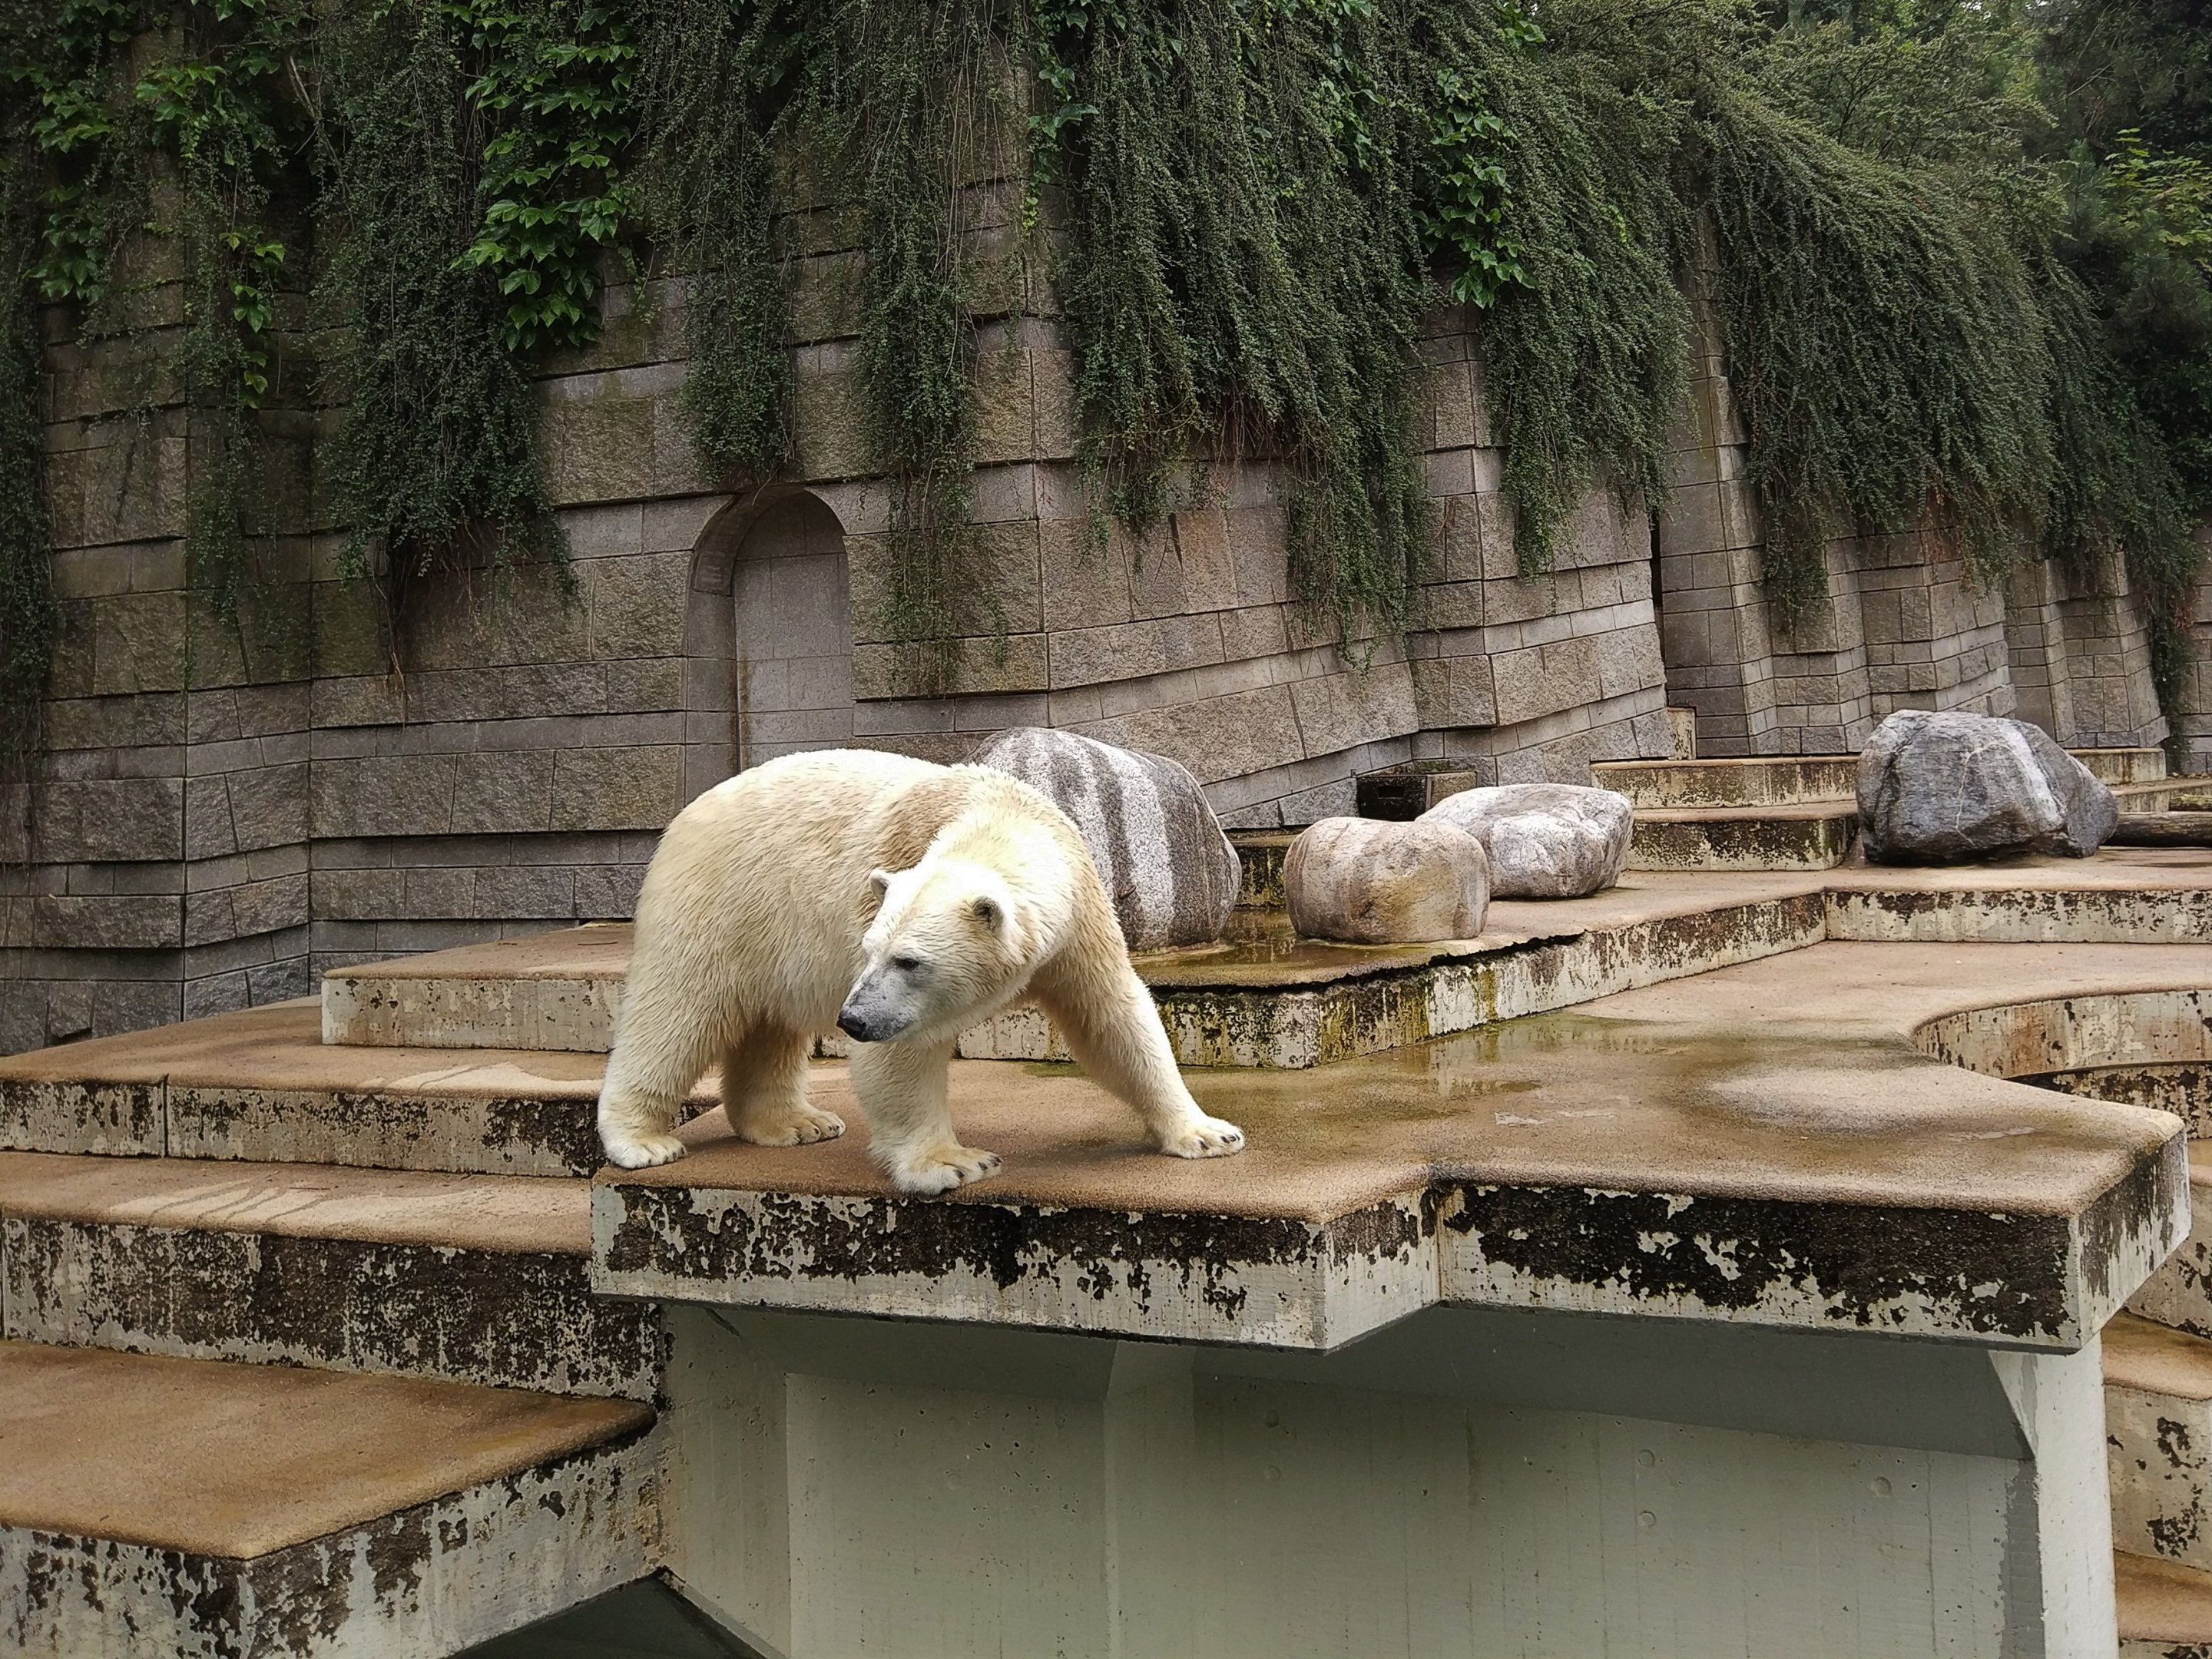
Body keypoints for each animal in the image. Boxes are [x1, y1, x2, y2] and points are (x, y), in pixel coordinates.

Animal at [596, 748, 1248, 1194]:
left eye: (908, 959)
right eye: (870, 950)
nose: (852, 1021)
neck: (998, 814)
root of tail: (685, 815)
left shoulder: (1079, 920)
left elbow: (1113, 1017)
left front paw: (1208, 1133)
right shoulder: (888, 881)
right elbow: (901, 1057)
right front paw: (953, 1163)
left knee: (767, 1026)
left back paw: (795, 1123)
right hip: (718, 901)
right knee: (677, 1013)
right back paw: (643, 1142)